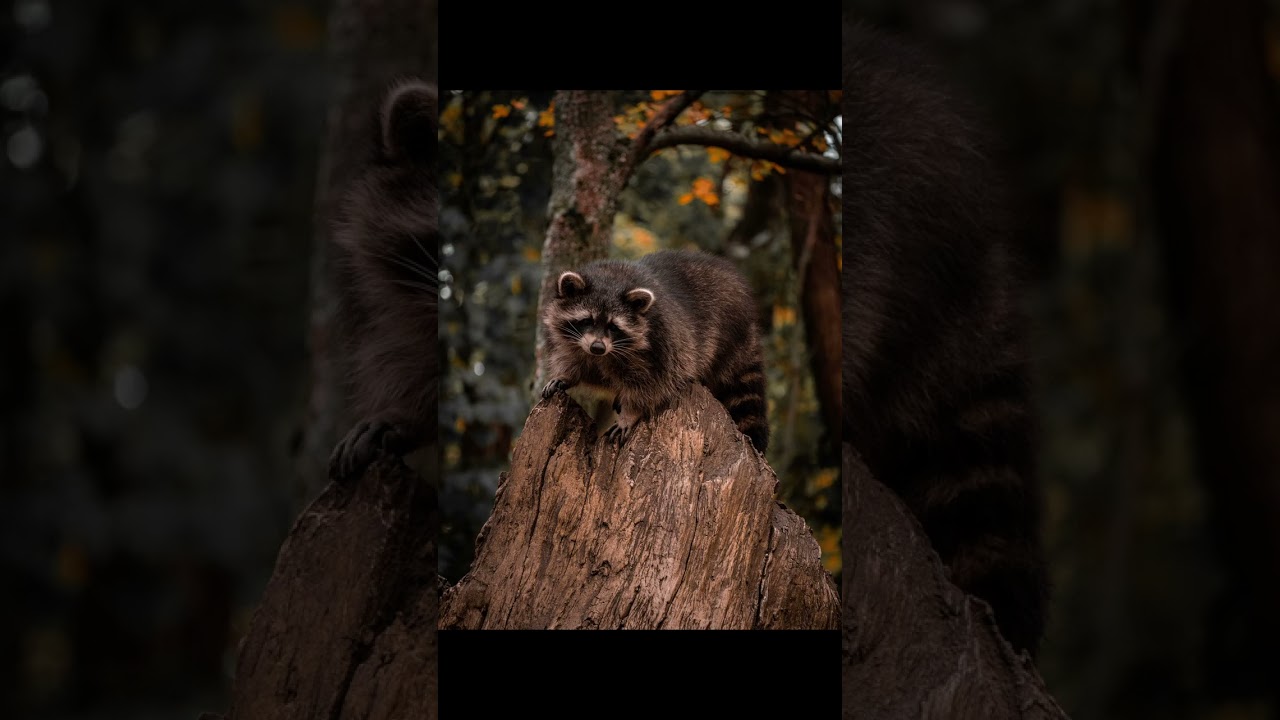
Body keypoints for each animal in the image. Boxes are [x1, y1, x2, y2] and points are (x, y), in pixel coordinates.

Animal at [541, 249, 769, 453]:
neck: (612, 278)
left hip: (725, 331)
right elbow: (577, 362)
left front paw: (631, 412)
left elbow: (654, 385)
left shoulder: (662, 344)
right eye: (587, 320)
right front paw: (566, 375)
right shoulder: (575, 343)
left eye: (613, 327)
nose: (598, 347)